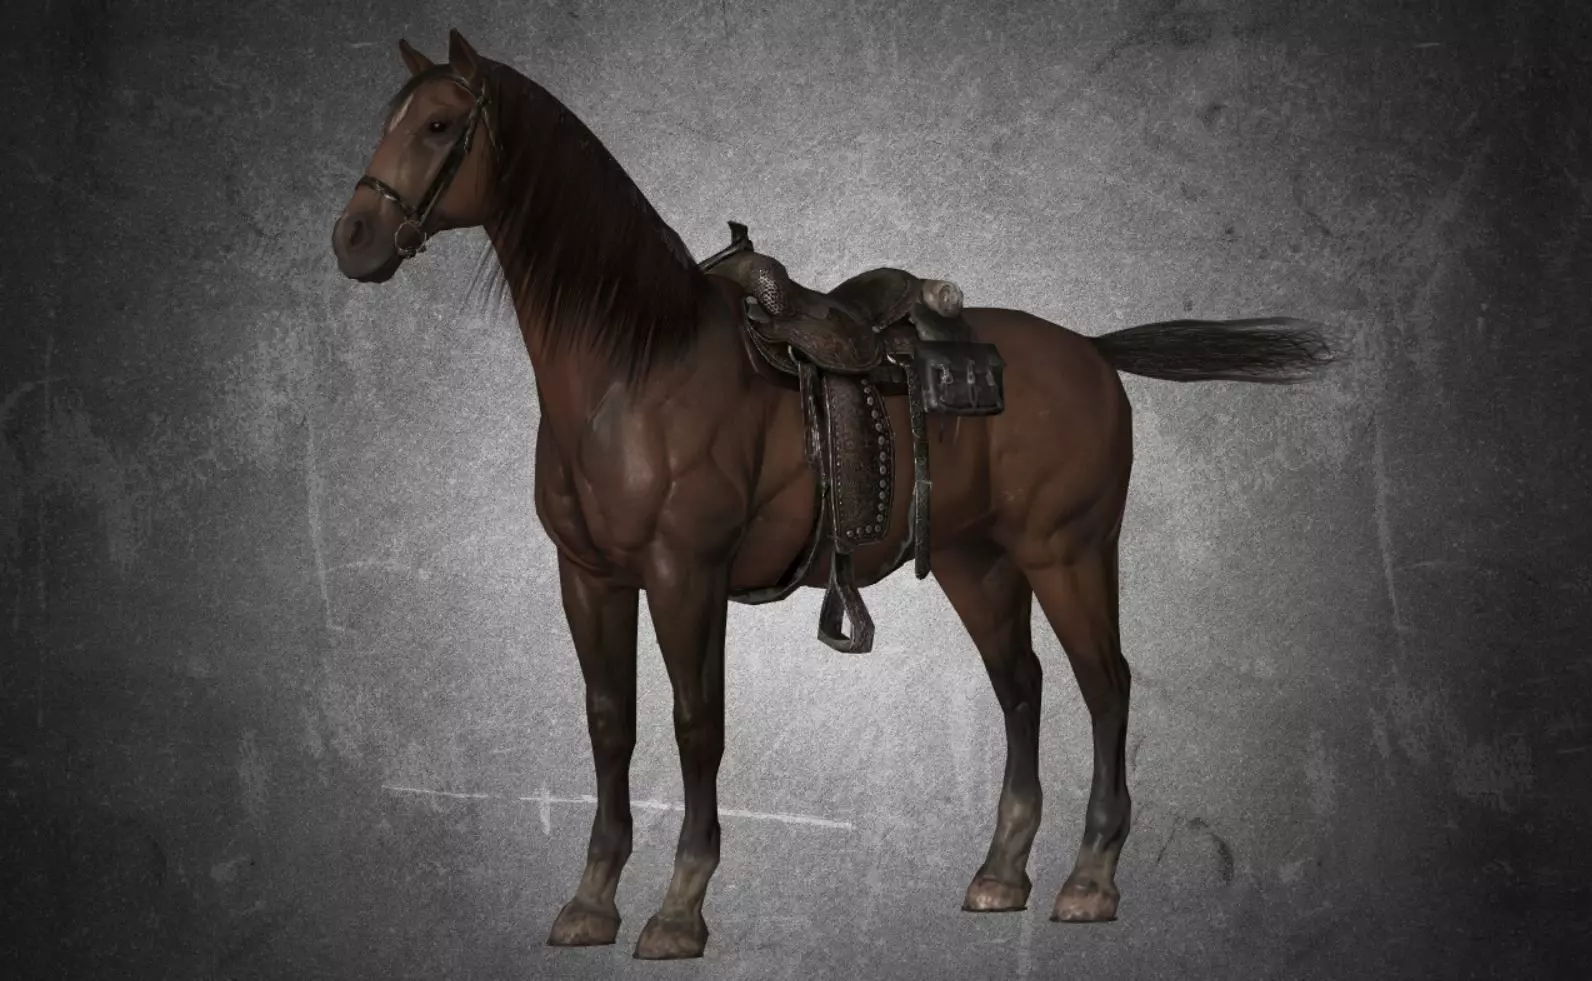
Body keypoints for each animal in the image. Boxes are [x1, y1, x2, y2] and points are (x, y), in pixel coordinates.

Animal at [330, 30, 1333, 960]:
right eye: (391, 119)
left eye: (439, 125)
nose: (352, 240)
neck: (634, 367)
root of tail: (1091, 349)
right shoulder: (589, 576)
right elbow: (610, 724)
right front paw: (590, 901)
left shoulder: (686, 575)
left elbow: (697, 725)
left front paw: (679, 909)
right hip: (977, 561)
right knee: (1022, 685)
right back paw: (1001, 872)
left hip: (1070, 553)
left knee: (1107, 685)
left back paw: (1090, 878)